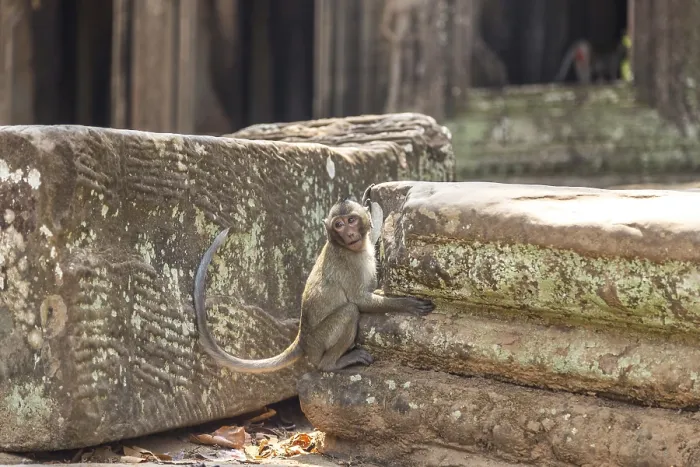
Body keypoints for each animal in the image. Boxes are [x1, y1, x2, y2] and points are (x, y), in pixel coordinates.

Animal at [193, 195, 434, 374]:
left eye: (351, 220)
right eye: (338, 224)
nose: (349, 233)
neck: (345, 247)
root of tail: (303, 339)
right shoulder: (350, 265)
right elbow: (360, 300)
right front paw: (406, 304)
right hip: (319, 341)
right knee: (349, 311)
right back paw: (332, 364)